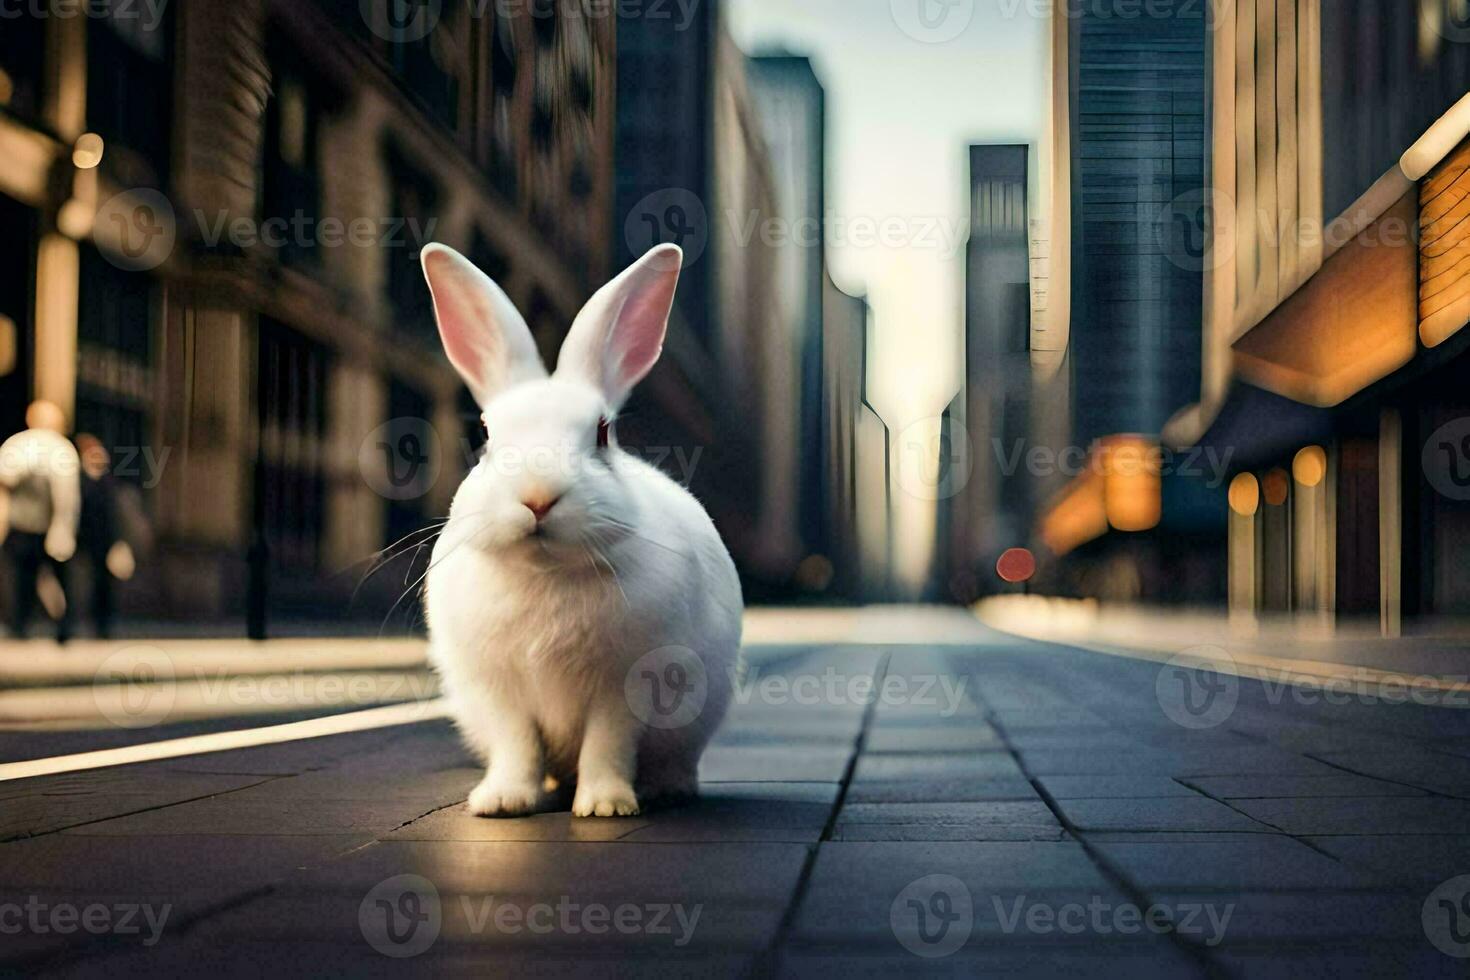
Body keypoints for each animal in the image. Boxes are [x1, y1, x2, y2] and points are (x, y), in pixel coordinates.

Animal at [417, 240, 740, 816]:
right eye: (485, 434)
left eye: (603, 432)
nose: (537, 497)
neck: (546, 575)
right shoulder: (499, 693)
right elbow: (517, 744)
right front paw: (503, 802)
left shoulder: (623, 689)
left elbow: (607, 745)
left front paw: (605, 806)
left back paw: (667, 788)